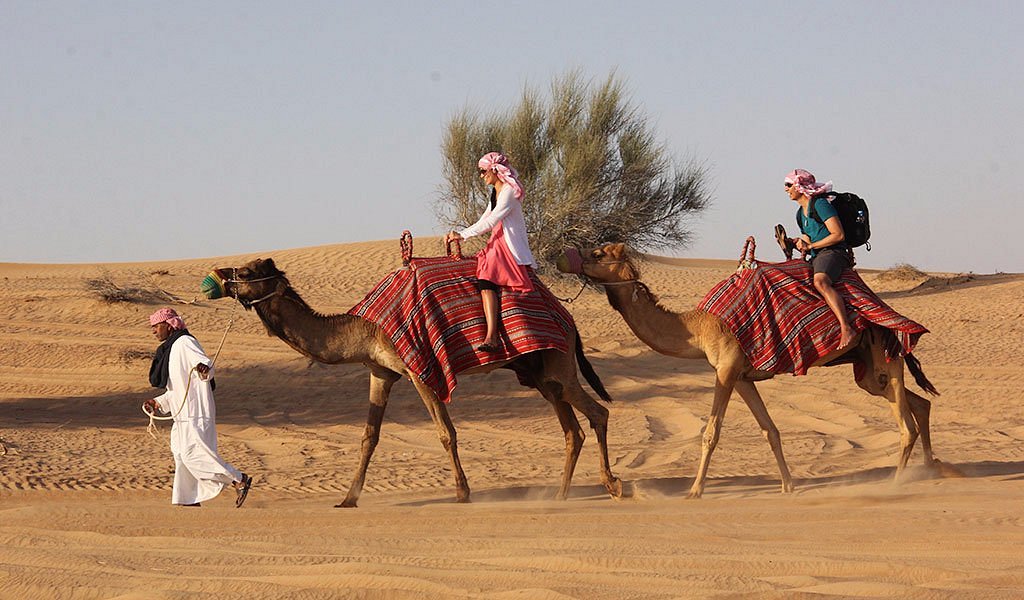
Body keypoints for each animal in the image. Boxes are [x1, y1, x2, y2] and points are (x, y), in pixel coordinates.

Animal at [197, 256, 614, 503]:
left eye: (246, 273)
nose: (215, 276)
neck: (363, 327)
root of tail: (568, 318)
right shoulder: (381, 372)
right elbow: (368, 437)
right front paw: (348, 499)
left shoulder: (419, 370)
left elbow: (446, 432)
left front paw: (462, 492)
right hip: (540, 372)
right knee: (572, 429)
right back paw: (559, 495)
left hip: (558, 362)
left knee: (598, 413)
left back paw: (613, 485)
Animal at [557, 240, 937, 497]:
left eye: (598, 254)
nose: (564, 256)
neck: (698, 326)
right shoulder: (741, 376)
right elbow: (771, 430)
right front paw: (788, 485)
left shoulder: (725, 369)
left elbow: (711, 432)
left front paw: (694, 491)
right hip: (869, 370)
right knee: (919, 403)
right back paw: (933, 468)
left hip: (885, 353)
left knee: (905, 424)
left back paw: (896, 482)